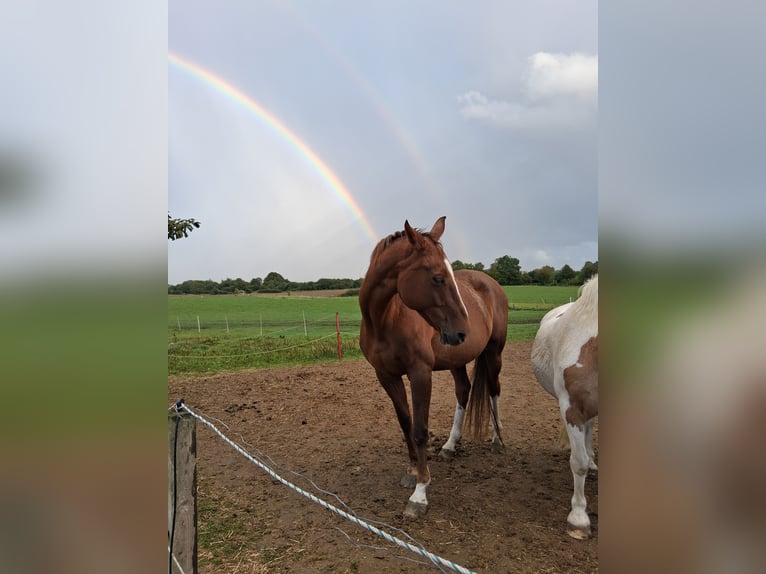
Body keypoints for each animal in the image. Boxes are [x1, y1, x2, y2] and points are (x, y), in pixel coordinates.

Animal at [359, 217, 509, 518]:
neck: (385, 319)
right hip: (456, 360)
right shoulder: (386, 376)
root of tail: (491, 284)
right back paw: (450, 446)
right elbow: (405, 422)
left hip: (494, 352)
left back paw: (497, 440)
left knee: (494, 390)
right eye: (438, 277)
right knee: (463, 391)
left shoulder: (420, 374)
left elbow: (420, 429)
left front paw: (420, 493)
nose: (463, 331)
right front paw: (413, 470)